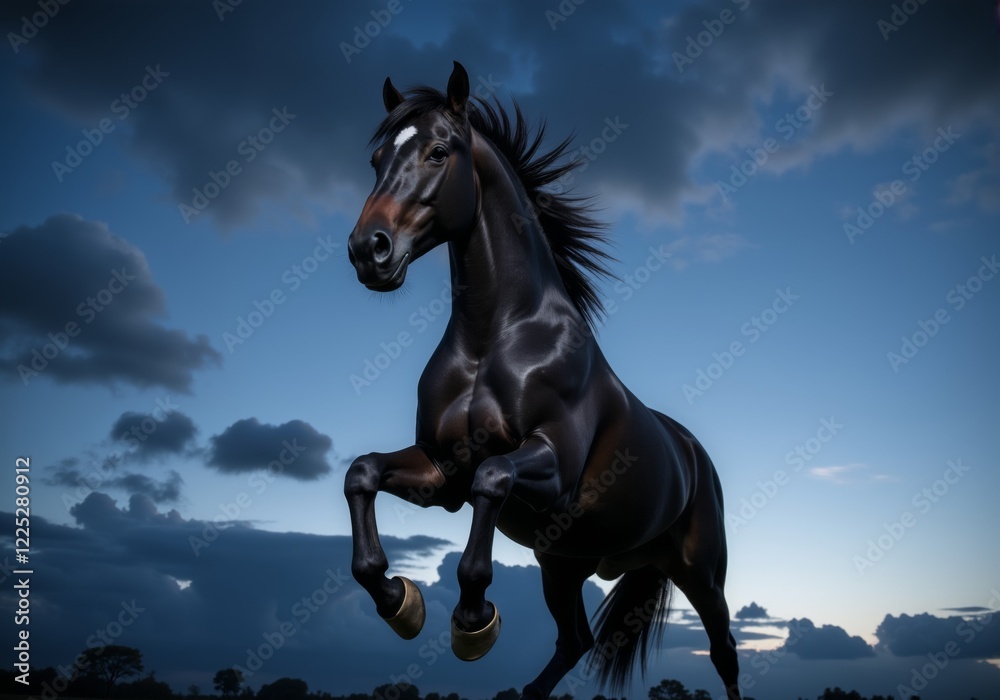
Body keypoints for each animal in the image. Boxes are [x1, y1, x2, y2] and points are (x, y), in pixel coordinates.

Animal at [344, 61, 742, 700]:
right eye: (377, 159)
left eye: (438, 151)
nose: (368, 250)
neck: (494, 338)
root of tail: (692, 452)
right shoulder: (440, 473)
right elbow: (362, 472)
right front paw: (399, 601)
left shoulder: (551, 469)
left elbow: (493, 479)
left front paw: (473, 622)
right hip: (563, 564)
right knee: (574, 641)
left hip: (703, 573)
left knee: (725, 652)